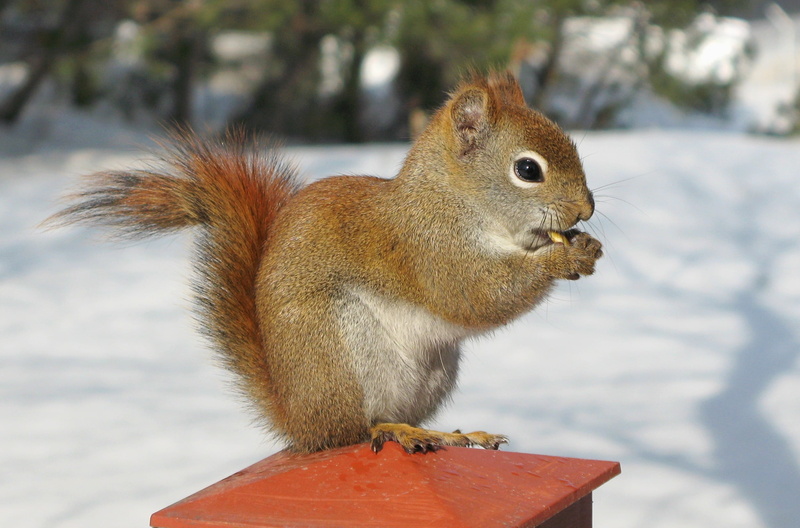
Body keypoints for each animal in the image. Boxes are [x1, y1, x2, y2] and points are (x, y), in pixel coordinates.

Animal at [47, 71, 602, 454]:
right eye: (527, 169)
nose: (586, 210)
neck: (456, 201)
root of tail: (298, 419)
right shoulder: (427, 249)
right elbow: (476, 294)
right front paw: (564, 256)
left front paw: (585, 246)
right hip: (340, 348)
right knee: (353, 430)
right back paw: (395, 430)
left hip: (435, 372)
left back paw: (451, 434)